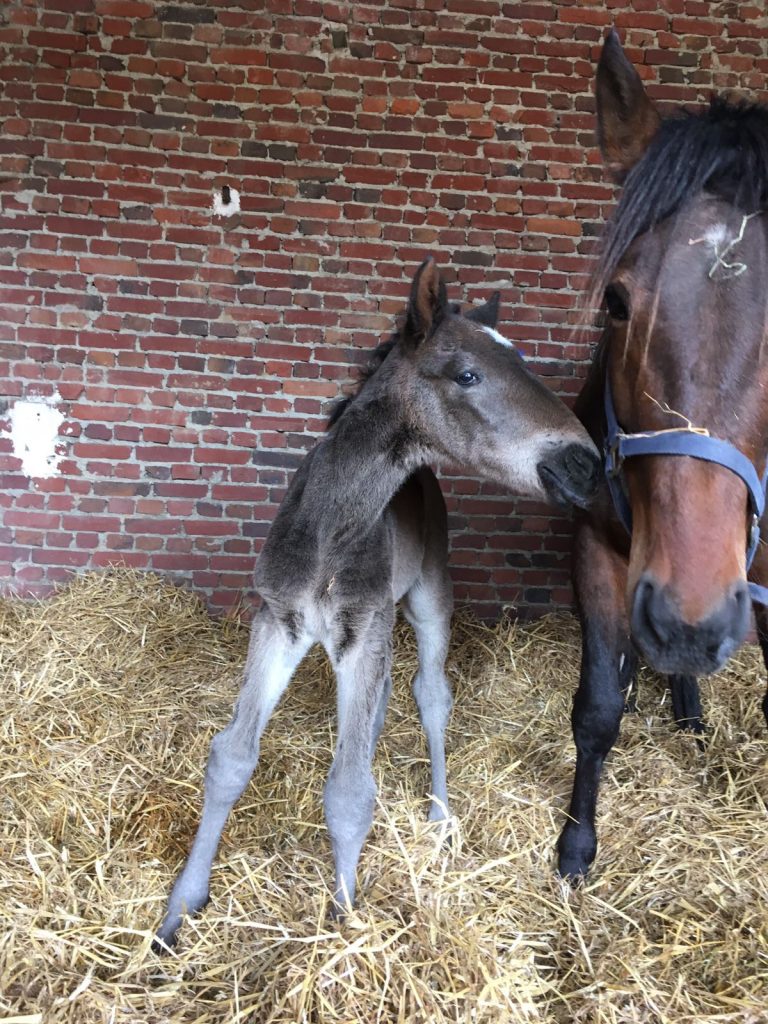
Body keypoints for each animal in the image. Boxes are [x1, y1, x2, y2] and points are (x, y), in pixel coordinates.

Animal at [156, 256, 602, 942]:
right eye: (466, 374)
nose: (585, 465)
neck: (328, 532)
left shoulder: (362, 635)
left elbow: (348, 790)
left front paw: (342, 924)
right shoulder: (278, 623)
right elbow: (231, 757)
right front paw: (178, 911)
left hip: (426, 597)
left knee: (431, 694)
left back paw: (440, 816)